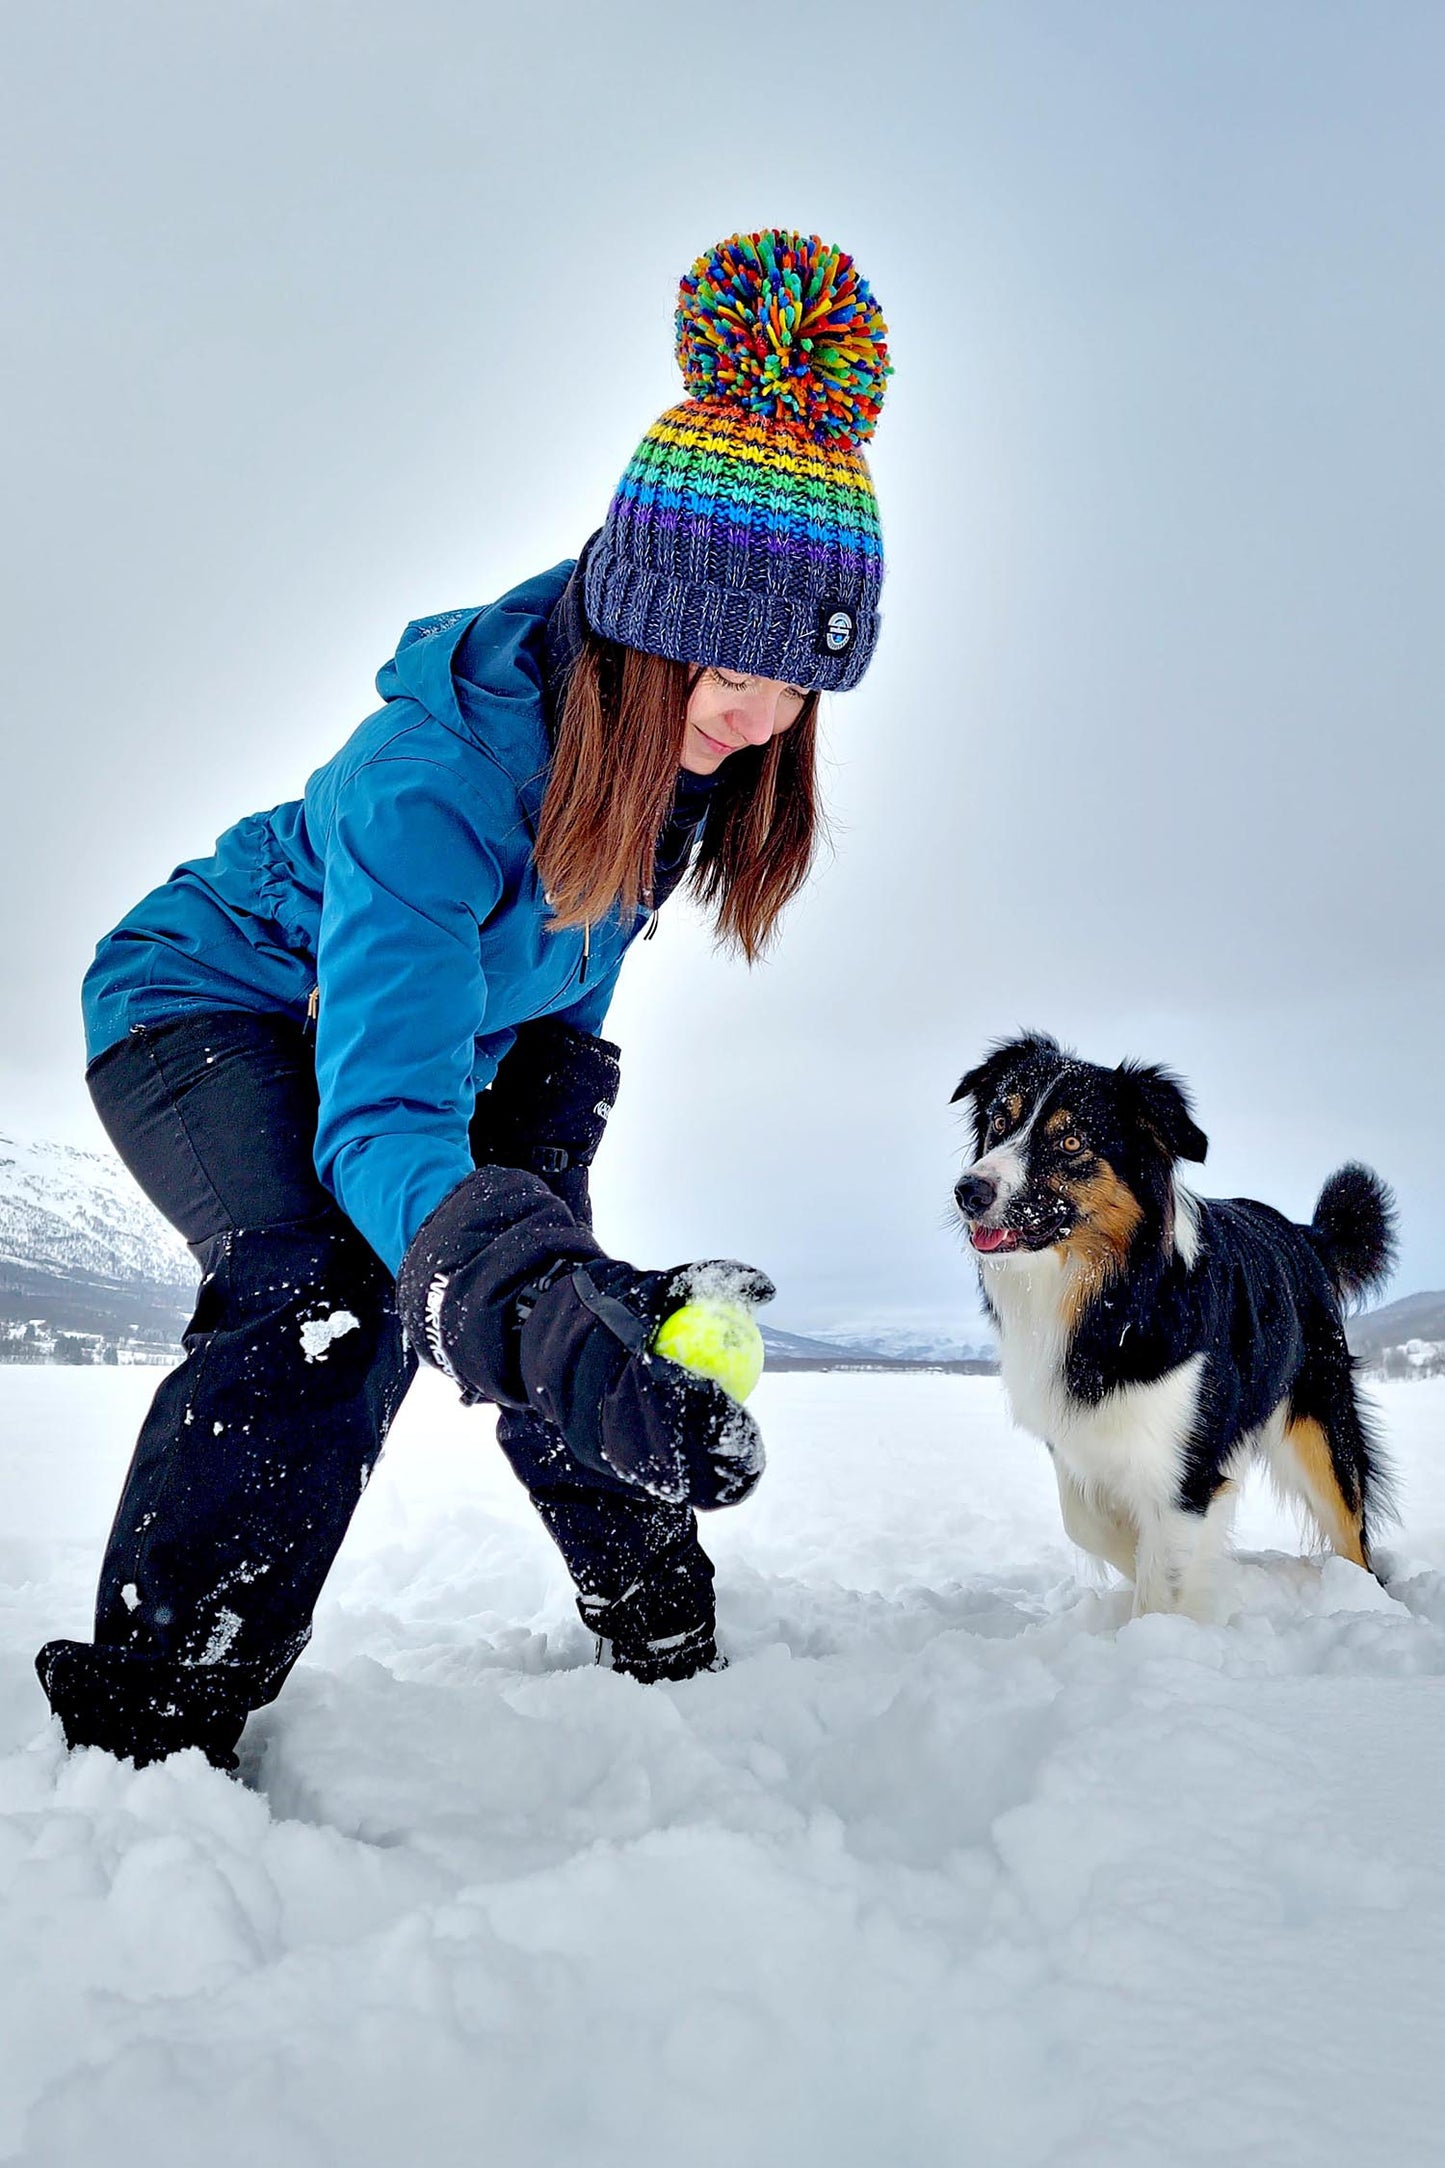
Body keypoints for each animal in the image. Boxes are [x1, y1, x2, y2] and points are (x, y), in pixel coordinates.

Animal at [953, 1036, 1395, 1630]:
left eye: (1071, 1141)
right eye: (1001, 1121)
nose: (968, 1190)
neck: (1110, 1299)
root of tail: (1305, 1236)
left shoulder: (1184, 1462)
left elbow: (1164, 1568)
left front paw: (1155, 1633)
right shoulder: (1079, 1439)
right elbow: (1090, 1525)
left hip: (1322, 1429)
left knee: (1353, 1537)